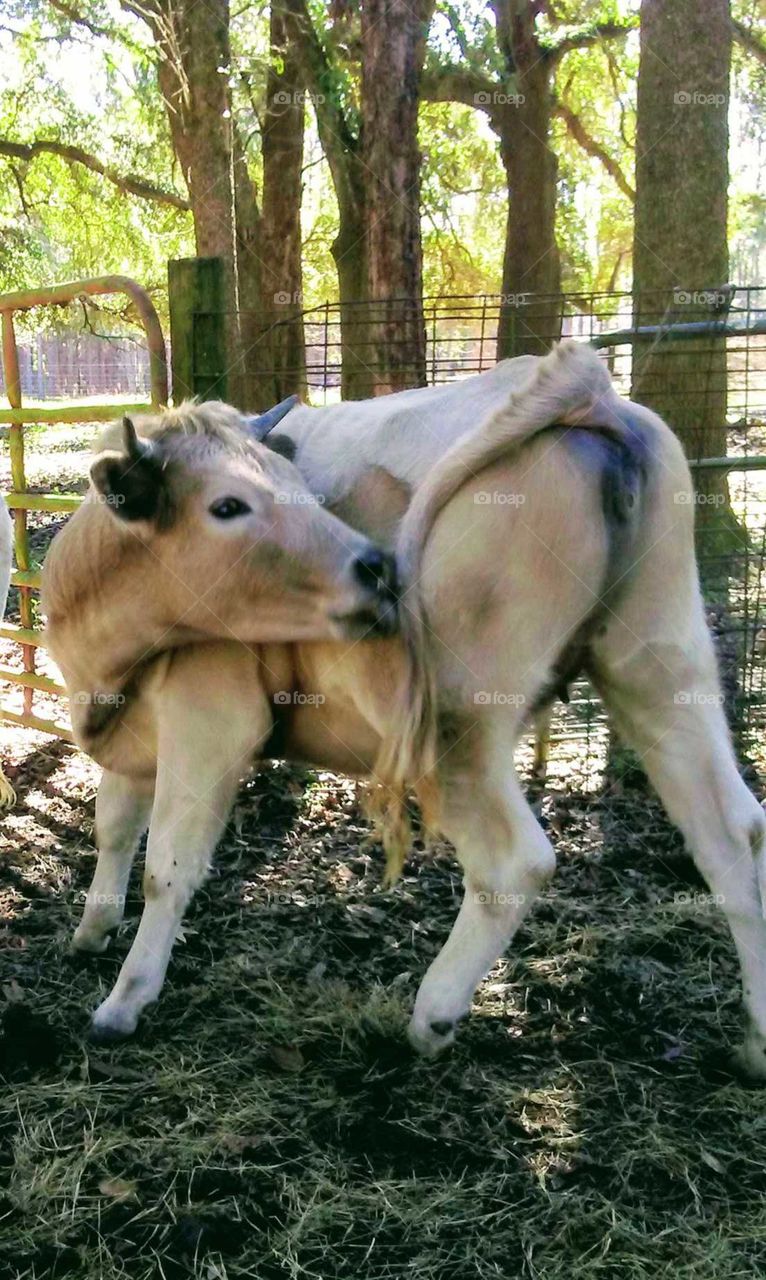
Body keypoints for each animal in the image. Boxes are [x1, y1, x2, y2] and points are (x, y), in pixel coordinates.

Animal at [41, 342, 766, 1079]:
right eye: (227, 504)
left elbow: (168, 868)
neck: (102, 642)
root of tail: (592, 391)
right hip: (662, 665)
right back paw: (757, 1041)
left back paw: (431, 1015)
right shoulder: (132, 732)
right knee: (731, 832)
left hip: (460, 724)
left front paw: (124, 1001)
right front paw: (91, 931)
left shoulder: (209, 722)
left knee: (517, 862)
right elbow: (113, 828)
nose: (376, 565)